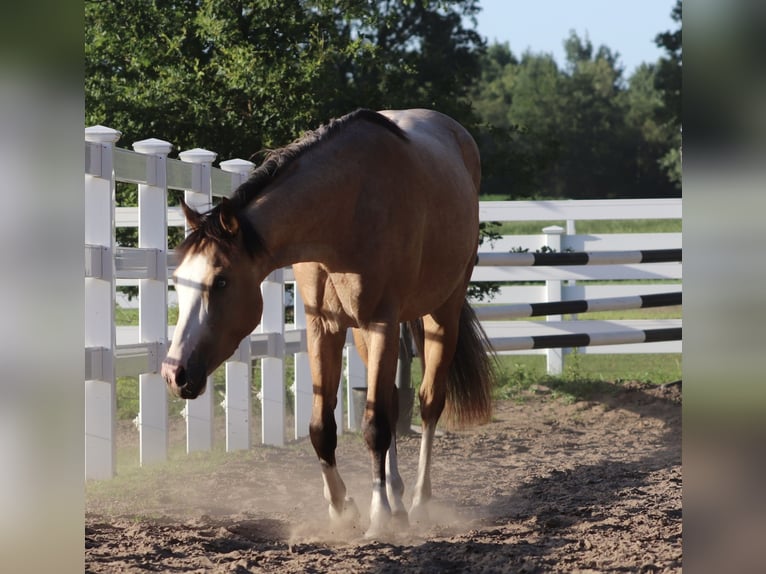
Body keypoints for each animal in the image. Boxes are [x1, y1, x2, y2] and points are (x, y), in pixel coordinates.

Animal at [161, 108, 495, 538]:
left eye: (220, 281)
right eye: (177, 279)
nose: (175, 373)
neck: (346, 211)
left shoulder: (381, 322)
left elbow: (375, 426)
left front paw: (379, 518)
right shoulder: (324, 326)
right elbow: (323, 427)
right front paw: (344, 509)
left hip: (442, 313)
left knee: (428, 403)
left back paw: (419, 503)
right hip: (367, 335)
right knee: (389, 401)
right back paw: (397, 496)